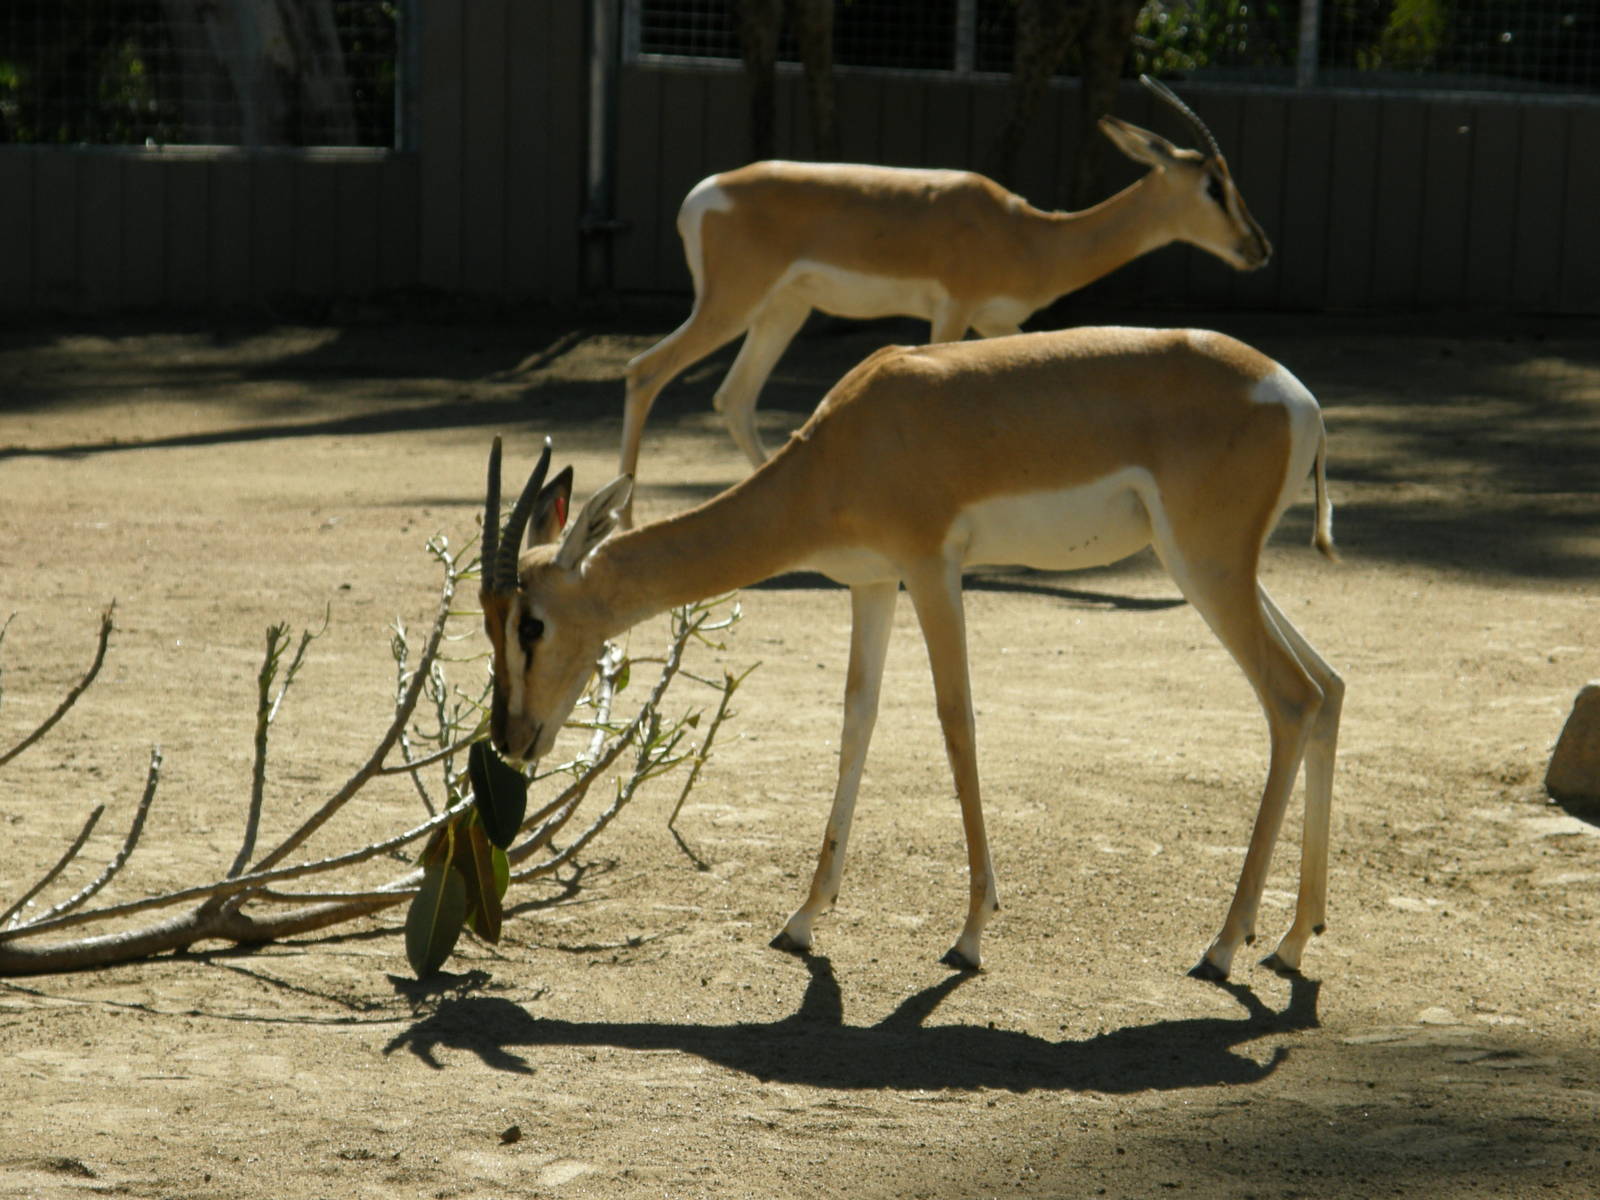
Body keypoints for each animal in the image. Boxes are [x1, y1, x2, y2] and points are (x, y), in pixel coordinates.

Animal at [482, 326, 1342, 981]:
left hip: (1205, 565)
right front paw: (803, 917)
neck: (847, 443)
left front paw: (971, 932)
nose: (511, 737)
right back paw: (1292, 941)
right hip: (1215, 567)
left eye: (530, 624)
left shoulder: (933, 568)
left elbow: (955, 719)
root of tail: (1300, 401)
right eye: (490, 624)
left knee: (1291, 697)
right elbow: (855, 722)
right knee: (1330, 685)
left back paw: (1224, 946)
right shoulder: (873, 581)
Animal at [617, 76, 1271, 523]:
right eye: (1214, 186)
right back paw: (620, 521)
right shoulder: (953, 311)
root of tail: (702, 196)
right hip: (731, 304)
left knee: (734, 396)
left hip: (783, 310)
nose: (1258, 248)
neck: (1031, 234)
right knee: (647, 370)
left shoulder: (999, 323)